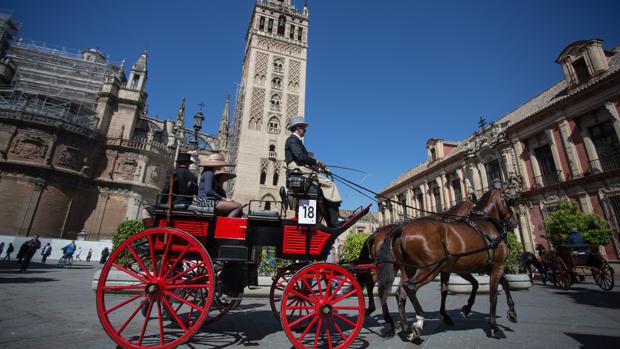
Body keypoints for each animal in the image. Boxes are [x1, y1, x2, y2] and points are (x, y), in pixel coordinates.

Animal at [356, 197, 478, 334]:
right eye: (474, 211)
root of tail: (376, 234)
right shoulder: (445, 267)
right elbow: (446, 290)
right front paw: (446, 315)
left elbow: (445, 289)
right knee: (379, 286)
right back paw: (388, 318)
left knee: (373, 283)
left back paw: (383, 315)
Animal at [378, 189, 520, 342]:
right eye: (510, 201)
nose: (514, 222)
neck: (484, 223)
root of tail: (402, 229)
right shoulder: (497, 266)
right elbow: (493, 295)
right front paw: (495, 326)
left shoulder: (472, 268)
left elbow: (488, 284)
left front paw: (511, 312)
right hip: (428, 270)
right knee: (410, 287)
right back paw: (419, 320)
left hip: (410, 269)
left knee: (401, 293)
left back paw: (406, 328)